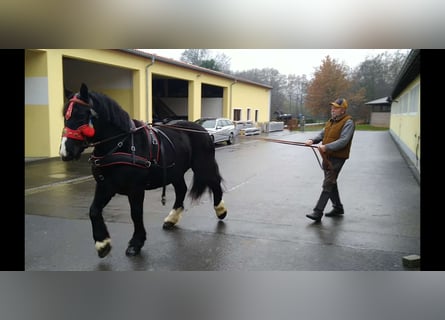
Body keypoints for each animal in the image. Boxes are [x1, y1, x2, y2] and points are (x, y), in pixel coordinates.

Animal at [59, 83, 225, 258]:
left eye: (81, 115)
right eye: (65, 115)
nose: (65, 151)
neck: (122, 144)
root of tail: (202, 129)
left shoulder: (136, 189)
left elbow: (136, 214)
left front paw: (136, 243)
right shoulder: (106, 186)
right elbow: (94, 210)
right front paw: (102, 243)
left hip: (203, 165)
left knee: (214, 183)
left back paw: (220, 210)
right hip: (175, 172)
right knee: (181, 190)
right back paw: (171, 218)